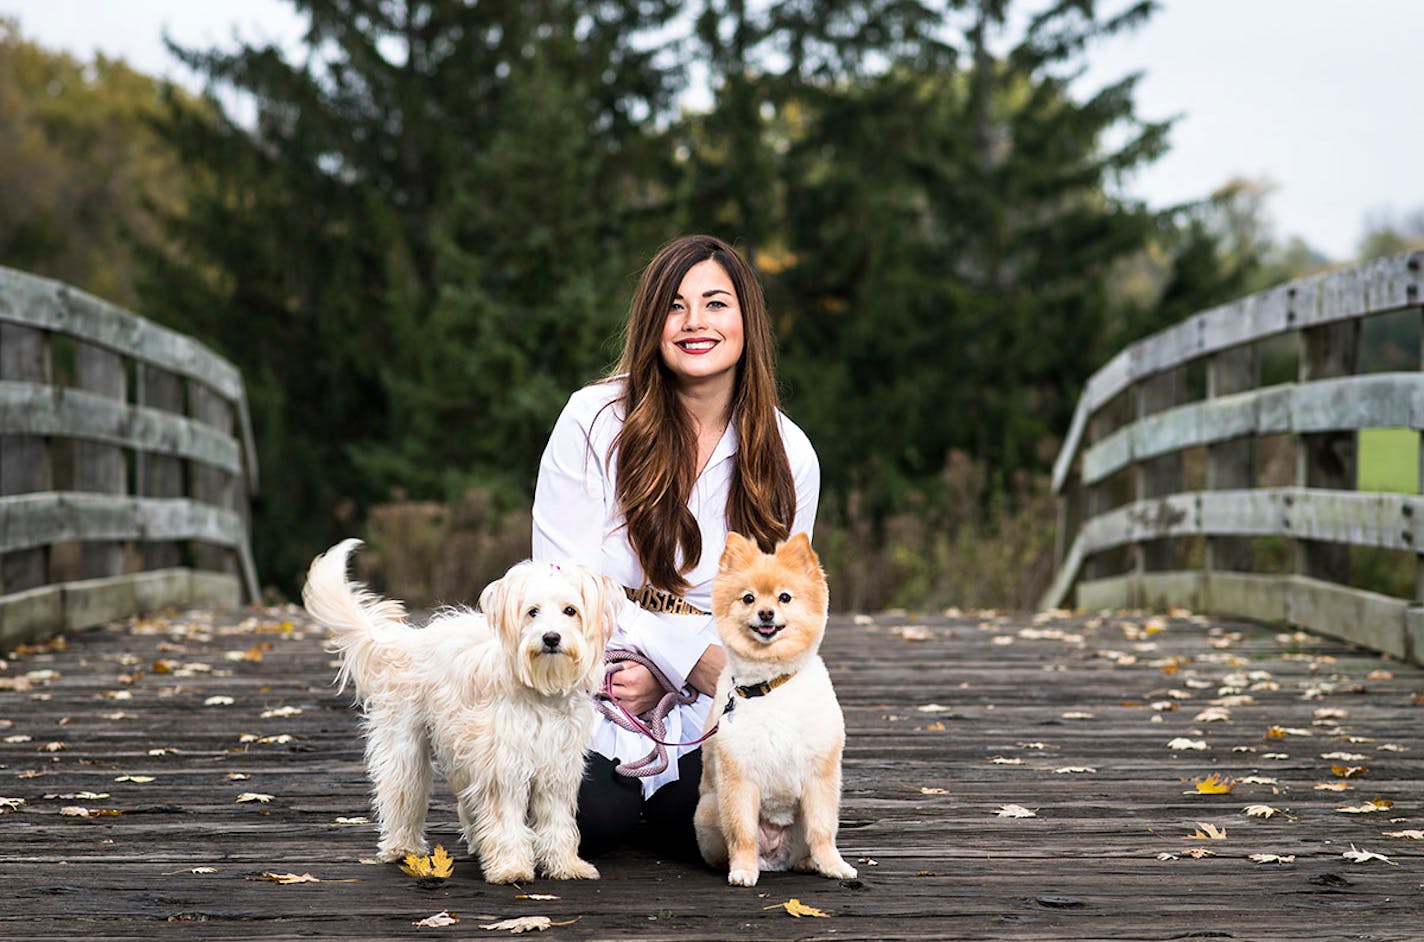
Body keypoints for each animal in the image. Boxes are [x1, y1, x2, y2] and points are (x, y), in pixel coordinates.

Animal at [300, 537, 618, 887]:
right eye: (532, 612)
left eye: (570, 611)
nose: (550, 637)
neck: (541, 693)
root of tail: (411, 640)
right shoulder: (503, 770)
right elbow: (506, 819)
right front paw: (510, 867)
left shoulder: (556, 773)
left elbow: (557, 822)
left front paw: (565, 864)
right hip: (407, 748)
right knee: (401, 792)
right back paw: (402, 846)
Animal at [692, 535, 854, 887]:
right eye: (748, 598)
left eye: (785, 597)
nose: (766, 613)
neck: (771, 683)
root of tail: (774, 860)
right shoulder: (739, 776)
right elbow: (742, 832)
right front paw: (742, 870)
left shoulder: (819, 775)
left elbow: (823, 829)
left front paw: (834, 865)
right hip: (708, 809)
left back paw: (807, 862)